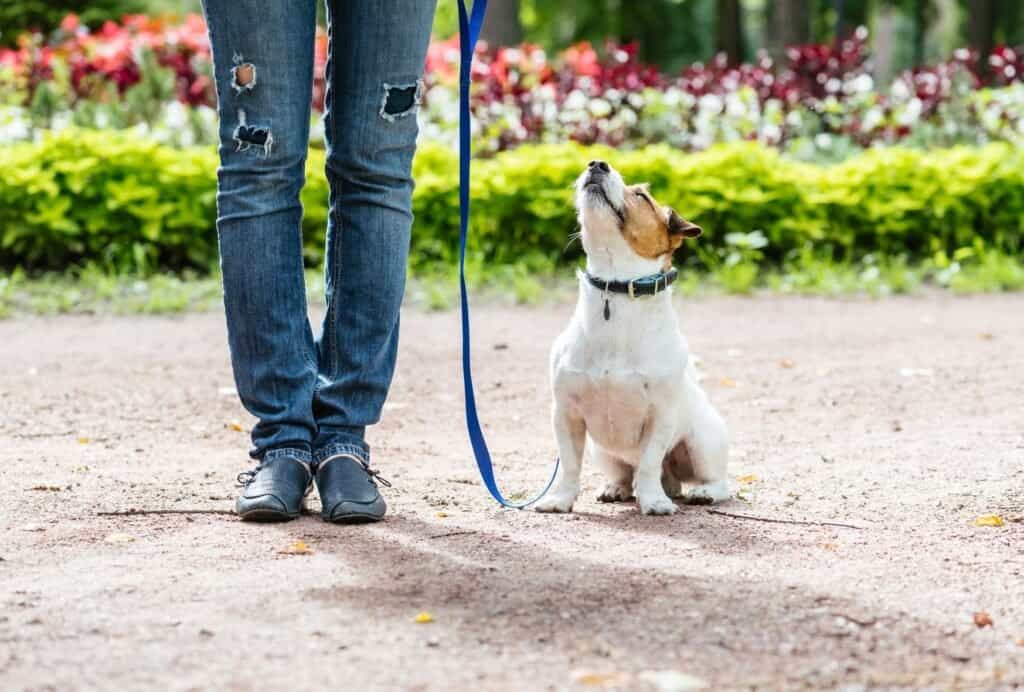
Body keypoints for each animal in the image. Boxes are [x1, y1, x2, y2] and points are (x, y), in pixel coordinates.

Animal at [536, 157, 729, 513]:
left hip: (702, 442)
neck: (617, 287)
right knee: (626, 474)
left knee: (717, 481)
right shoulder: (566, 414)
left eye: (641, 196)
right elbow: (569, 465)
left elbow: (650, 462)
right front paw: (560, 499)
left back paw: (700, 492)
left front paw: (653, 501)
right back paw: (617, 488)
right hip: (603, 451)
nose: (597, 163)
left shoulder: (661, 416)